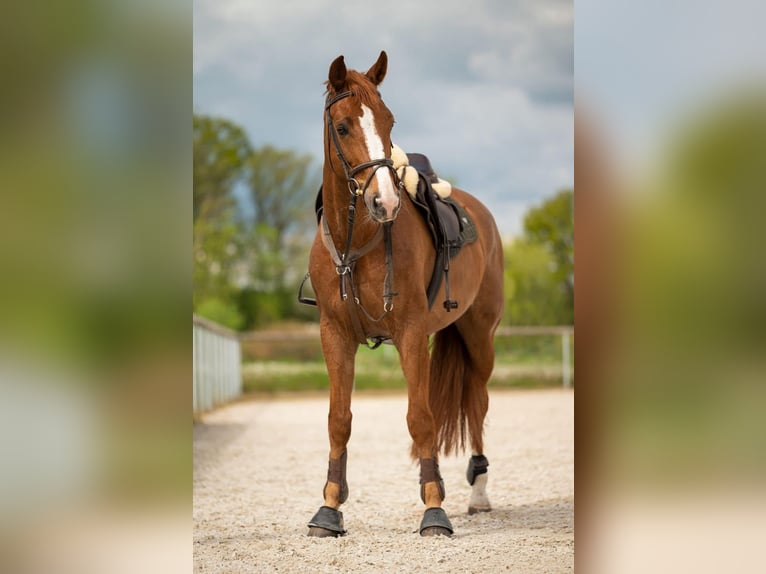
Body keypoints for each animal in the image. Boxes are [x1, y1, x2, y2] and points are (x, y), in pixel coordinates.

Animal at [304, 51, 504, 537]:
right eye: (342, 127)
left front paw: (435, 510)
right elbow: (339, 420)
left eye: (389, 122)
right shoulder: (334, 335)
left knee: (476, 403)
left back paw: (478, 494)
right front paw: (329, 508)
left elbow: (420, 418)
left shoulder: (411, 333)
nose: (386, 203)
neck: (358, 242)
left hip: (479, 336)